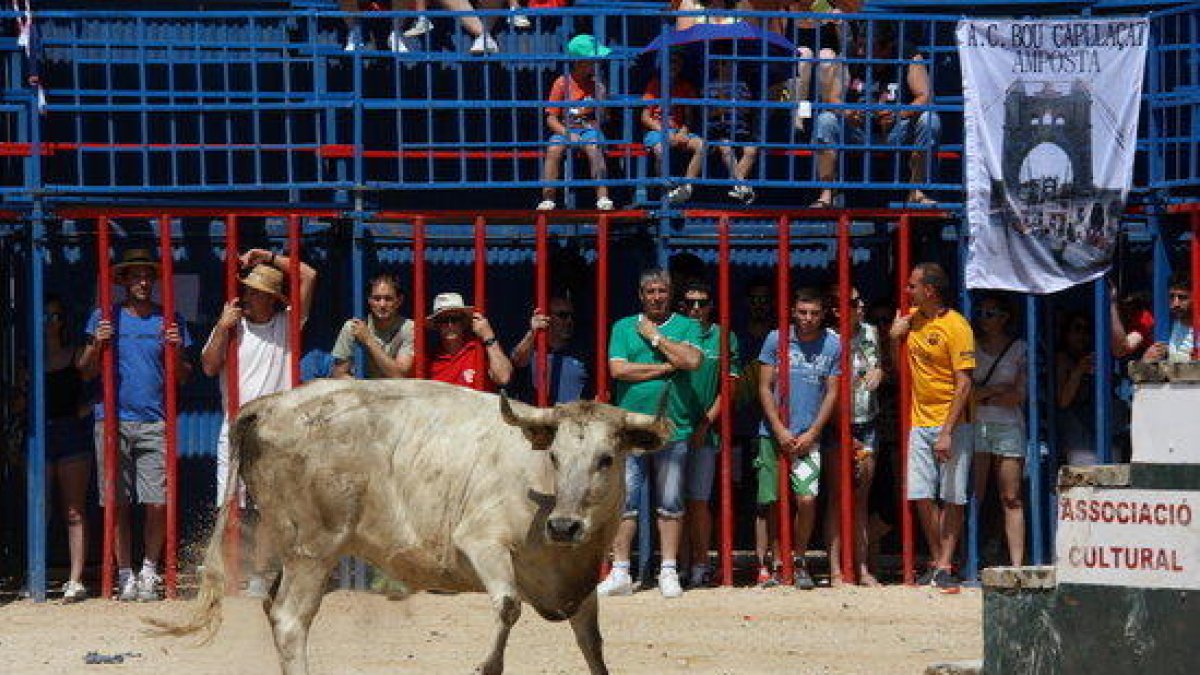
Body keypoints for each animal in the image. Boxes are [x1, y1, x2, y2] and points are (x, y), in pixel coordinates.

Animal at [153, 374, 672, 667]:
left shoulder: (580, 588)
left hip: (291, 546)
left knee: (273, 608)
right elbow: (507, 608)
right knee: (290, 620)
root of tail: (271, 404)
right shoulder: (480, 544)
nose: (564, 526)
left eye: (606, 458)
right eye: (556, 456)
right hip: (314, 549)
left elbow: (594, 648)